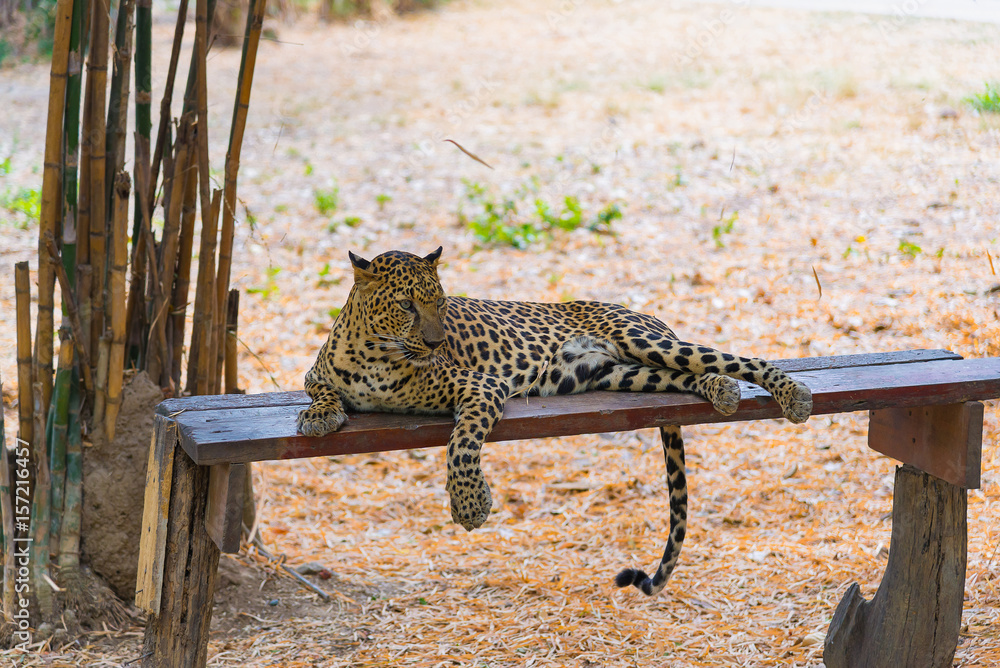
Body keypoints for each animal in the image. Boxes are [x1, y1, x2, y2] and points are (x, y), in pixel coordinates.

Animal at [297, 247, 813, 596]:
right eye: (406, 304)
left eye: (441, 303)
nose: (435, 341)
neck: (375, 353)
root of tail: (645, 315)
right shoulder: (315, 375)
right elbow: (322, 390)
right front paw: (318, 416)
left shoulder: (482, 387)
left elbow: (461, 445)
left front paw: (470, 504)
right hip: (626, 372)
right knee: (686, 377)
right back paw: (722, 390)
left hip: (647, 341)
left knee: (733, 358)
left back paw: (794, 394)